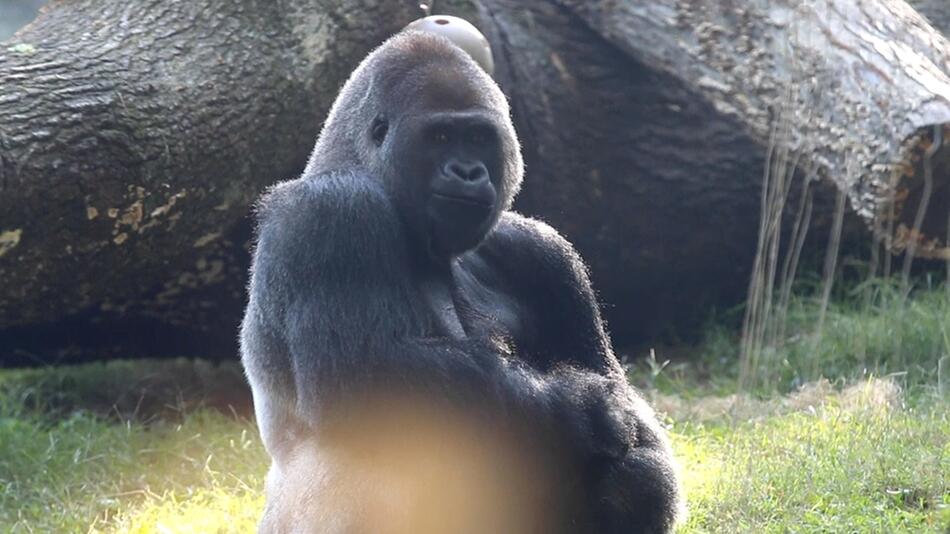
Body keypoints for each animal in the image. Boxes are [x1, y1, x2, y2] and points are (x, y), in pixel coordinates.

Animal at [242, 26, 680, 534]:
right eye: (440, 136)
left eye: (477, 136)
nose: (467, 171)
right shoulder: (330, 212)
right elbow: (364, 374)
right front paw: (582, 407)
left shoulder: (546, 254)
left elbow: (635, 428)